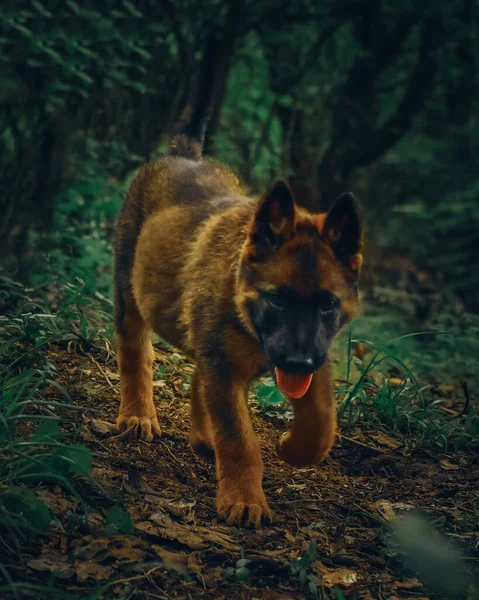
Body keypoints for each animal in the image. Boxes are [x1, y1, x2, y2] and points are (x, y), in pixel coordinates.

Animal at [114, 132, 362, 524]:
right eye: (276, 299)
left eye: (328, 304)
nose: (297, 362)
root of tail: (185, 153)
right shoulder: (225, 366)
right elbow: (238, 438)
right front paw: (245, 500)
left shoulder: (314, 359)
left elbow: (323, 422)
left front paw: (293, 449)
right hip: (130, 291)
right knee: (135, 350)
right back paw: (138, 415)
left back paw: (202, 436)